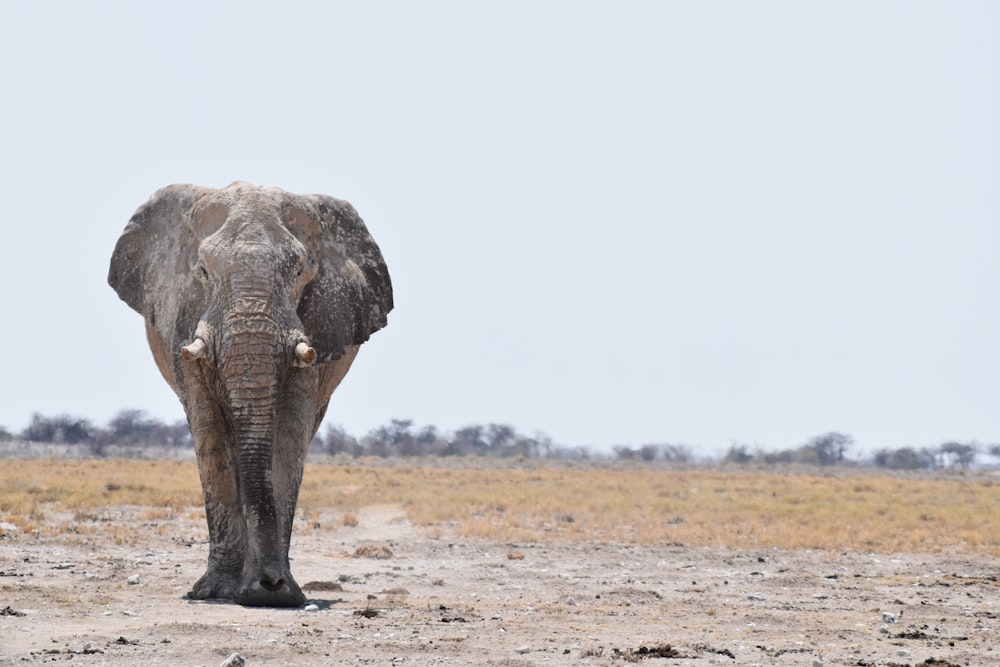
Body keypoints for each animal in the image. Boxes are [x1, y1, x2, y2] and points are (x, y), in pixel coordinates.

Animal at [108, 181, 390, 604]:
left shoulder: (317, 329)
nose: (270, 584)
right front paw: (217, 591)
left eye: (300, 271)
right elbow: (211, 434)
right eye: (203, 271)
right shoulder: (184, 321)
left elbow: (287, 436)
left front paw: (276, 592)